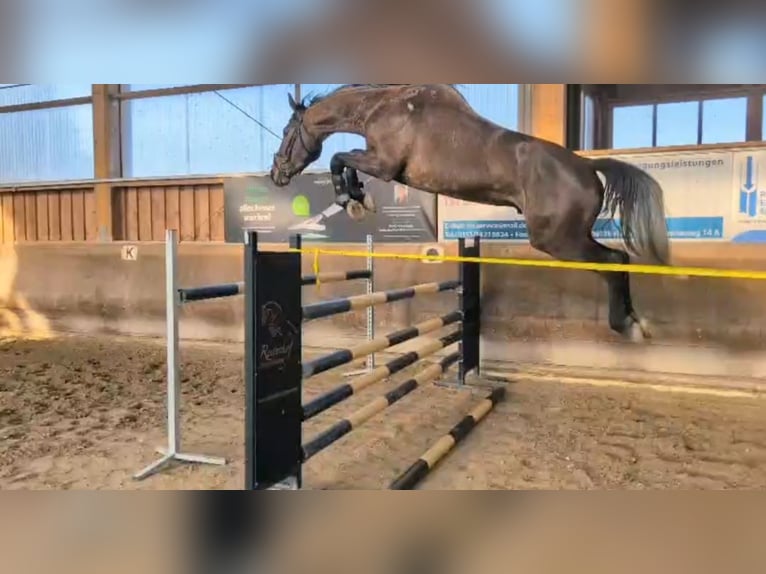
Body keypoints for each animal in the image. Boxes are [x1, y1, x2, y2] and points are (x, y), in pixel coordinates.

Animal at [270, 84, 670, 342]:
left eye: (288, 131)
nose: (276, 174)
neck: (383, 109)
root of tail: (587, 166)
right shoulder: (381, 165)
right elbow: (346, 162)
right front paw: (357, 199)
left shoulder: (384, 165)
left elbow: (340, 159)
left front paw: (351, 201)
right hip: (571, 236)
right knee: (619, 259)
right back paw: (637, 322)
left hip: (557, 239)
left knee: (613, 261)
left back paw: (628, 326)